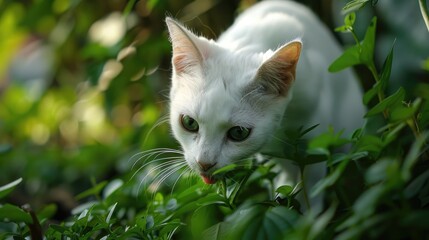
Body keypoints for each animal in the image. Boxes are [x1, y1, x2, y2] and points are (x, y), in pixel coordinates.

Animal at [166, 0, 362, 210]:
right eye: (189, 123)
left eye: (238, 132)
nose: (204, 163)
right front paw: (284, 190)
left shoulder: (318, 125)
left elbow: (313, 173)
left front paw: (309, 211)